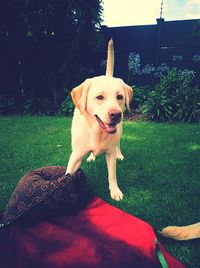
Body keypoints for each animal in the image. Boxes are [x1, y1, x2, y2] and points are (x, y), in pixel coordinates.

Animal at [65, 39, 134, 201]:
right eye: (100, 97)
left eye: (120, 97)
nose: (116, 114)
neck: (97, 132)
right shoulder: (76, 155)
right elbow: (68, 173)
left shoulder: (110, 154)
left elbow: (112, 175)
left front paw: (115, 191)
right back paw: (91, 156)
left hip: (120, 130)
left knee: (118, 143)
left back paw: (119, 154)